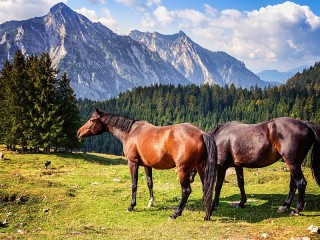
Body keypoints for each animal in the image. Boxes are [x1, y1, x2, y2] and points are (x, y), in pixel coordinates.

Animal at [77, 108, 218, 220]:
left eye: (92, 120)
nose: (78, 132)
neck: (131, 132)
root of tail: (201, 133)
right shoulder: (147, 165)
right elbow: (150, 183)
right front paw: (151, 202)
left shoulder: (132, 163)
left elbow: (134, 185)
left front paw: (131, 206)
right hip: (200, 167)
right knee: (206, 187)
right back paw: (207, 213)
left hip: (183, 170)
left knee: (186, 190)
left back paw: (176, 213)